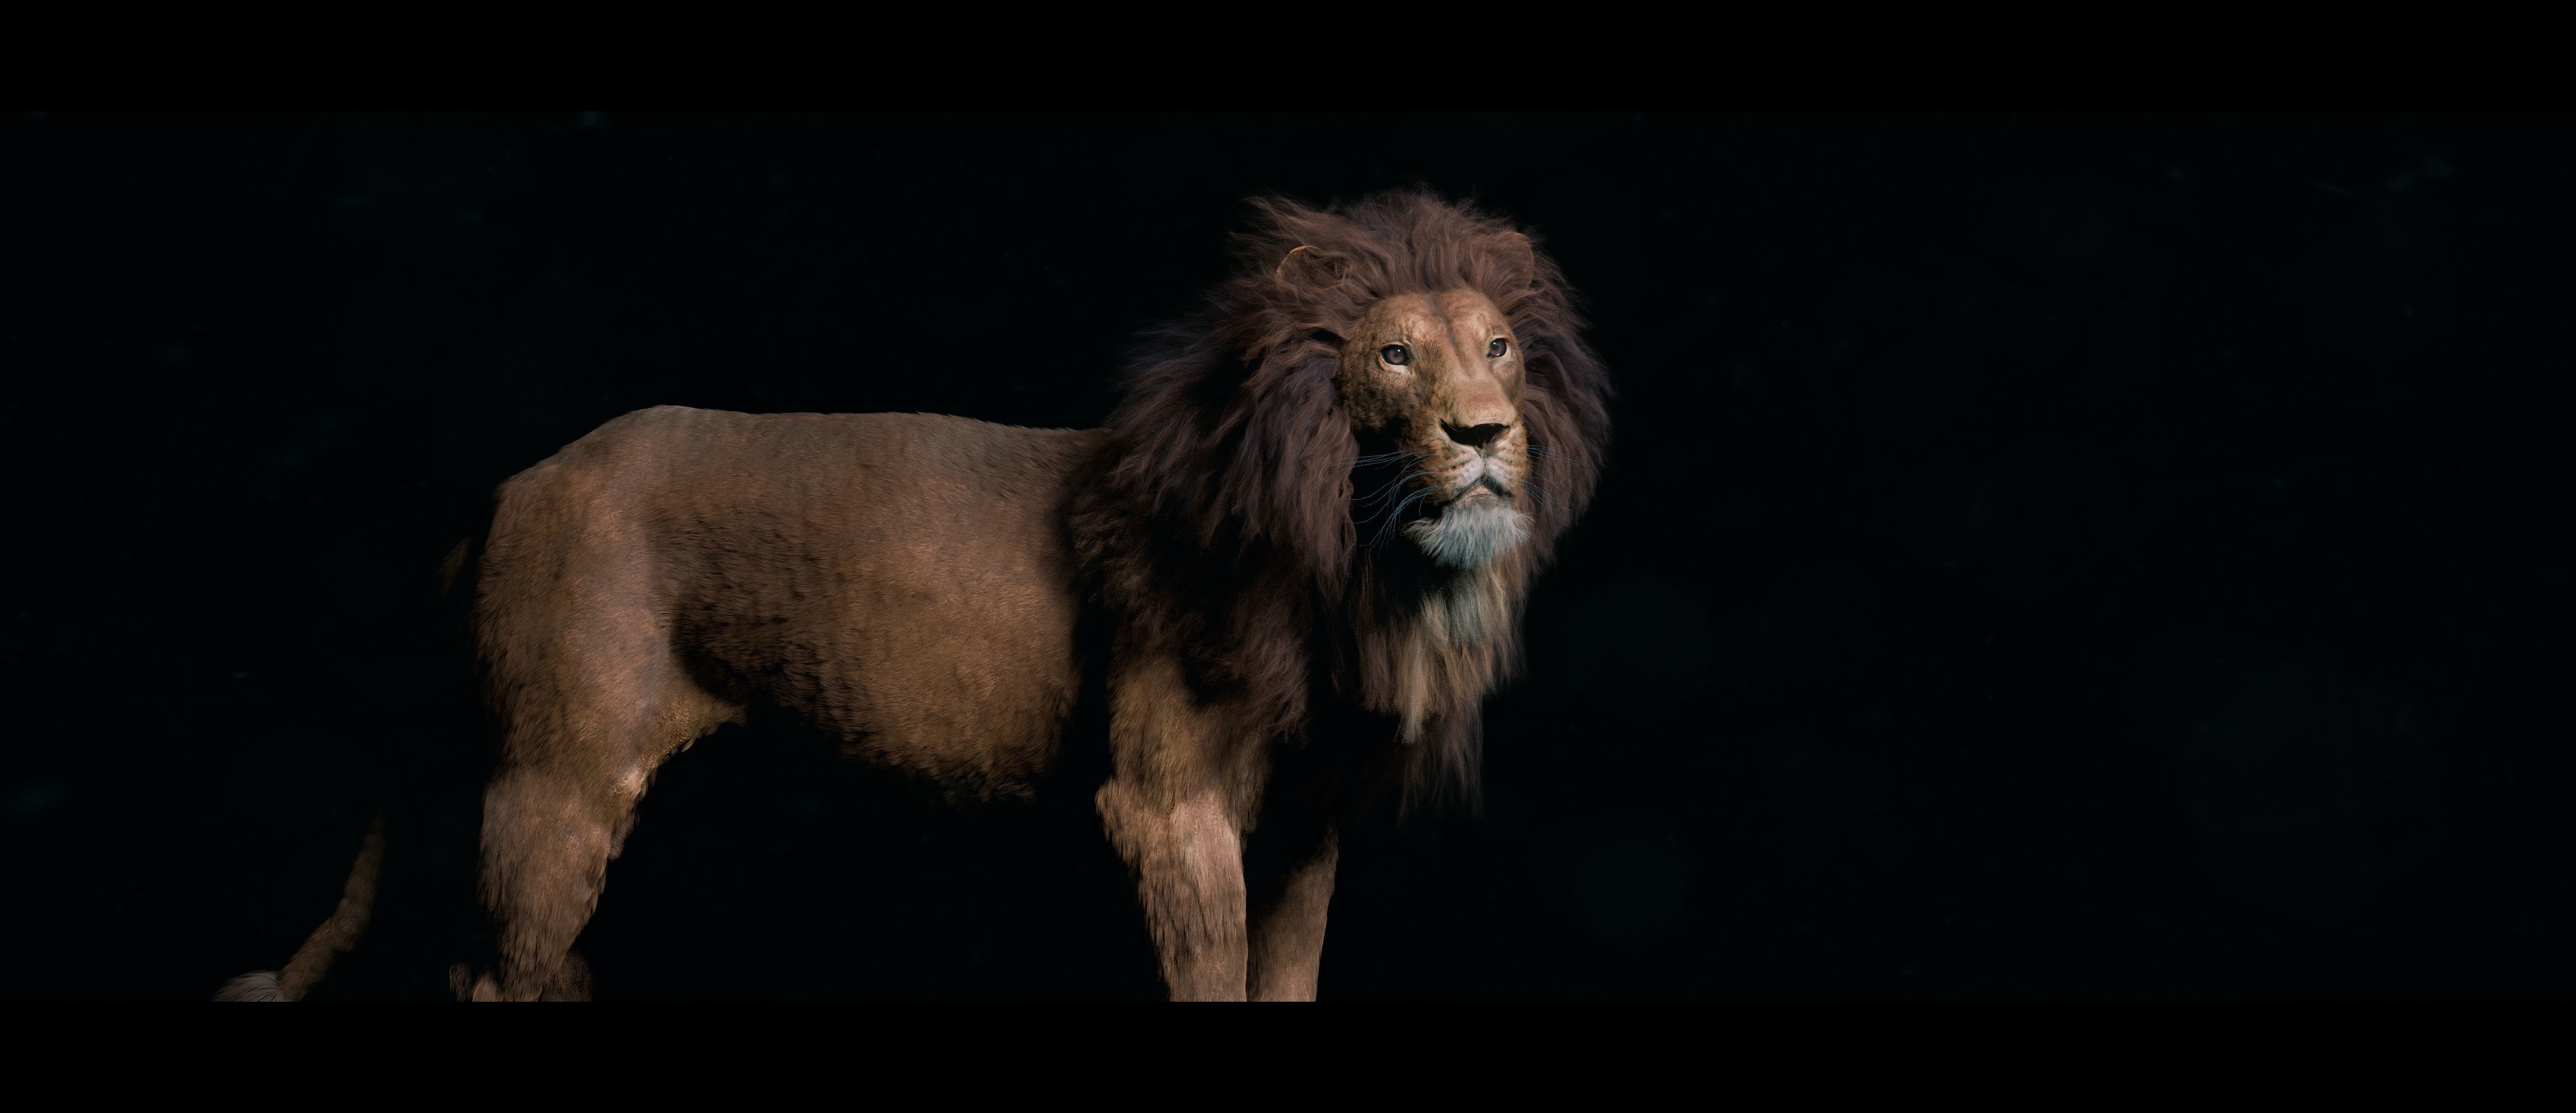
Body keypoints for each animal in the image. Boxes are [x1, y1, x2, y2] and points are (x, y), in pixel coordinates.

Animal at [216, 191, 1611, 1001]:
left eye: (1497, 349)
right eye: (1396, 354)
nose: (1486, 433)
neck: (1353, 558)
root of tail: (508, 490)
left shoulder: (1309, 824)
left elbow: (1288, 980)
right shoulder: (1168, 802)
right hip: (558, 776)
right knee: (490, 974)